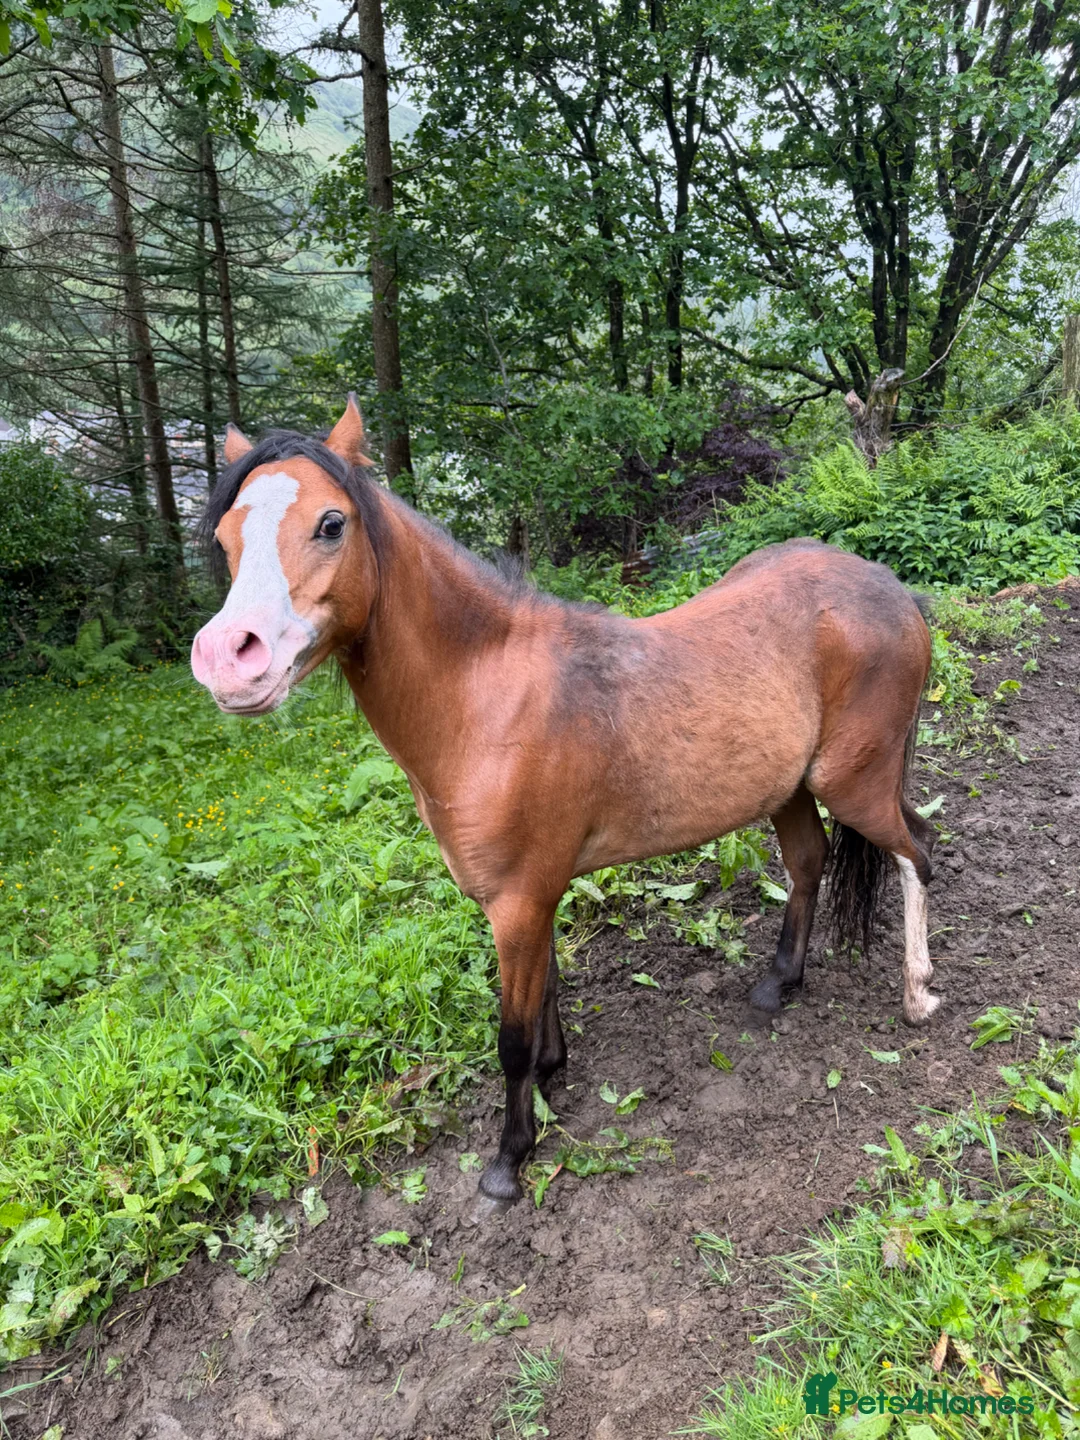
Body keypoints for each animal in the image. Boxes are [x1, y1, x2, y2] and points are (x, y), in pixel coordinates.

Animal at [190, 397, 939, 1218]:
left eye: (331, 523)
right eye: (227, 538)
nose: (229, 658)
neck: (486, 696)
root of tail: (894, 591)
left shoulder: (518, 900)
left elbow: (511, 1036)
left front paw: (507, 1163)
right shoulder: (534, 894)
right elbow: (547, 992)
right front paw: (553, 1075)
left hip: (853, 784)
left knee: (918, 852)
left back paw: (918, 995)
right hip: (792, 790)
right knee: (811, 864)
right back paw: (779, 983)